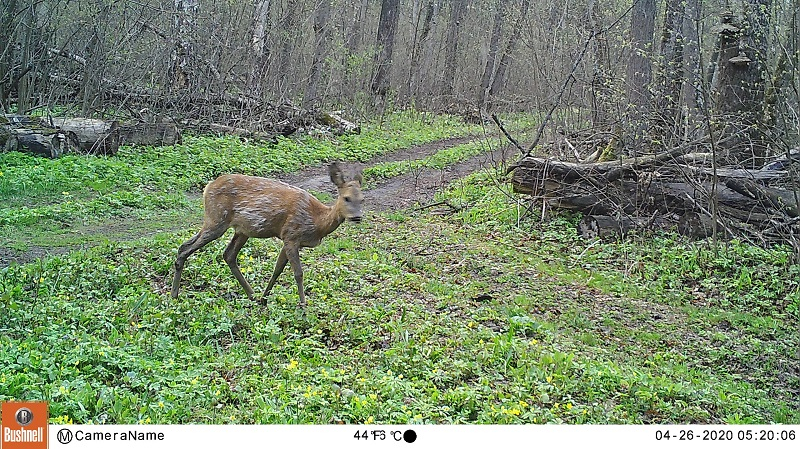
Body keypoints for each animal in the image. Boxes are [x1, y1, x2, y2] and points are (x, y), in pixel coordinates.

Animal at [173, 161, 368, 304]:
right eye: (346, 198)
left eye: (362, 199)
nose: (357, 217)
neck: (317, 222)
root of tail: (207, 187)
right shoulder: (291, 234)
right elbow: (298, 273)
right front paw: (303, 307)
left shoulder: (288, 239)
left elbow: (277, 270)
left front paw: (265, 298)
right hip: (217, 218)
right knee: (185, 248)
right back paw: (174, 295)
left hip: (241, 229)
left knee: (226, 254)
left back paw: (252, 296)